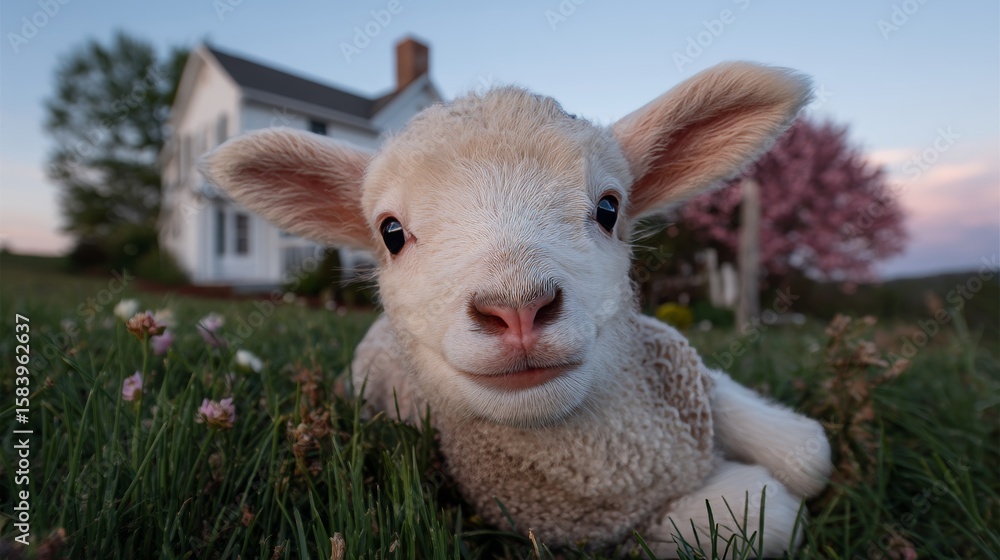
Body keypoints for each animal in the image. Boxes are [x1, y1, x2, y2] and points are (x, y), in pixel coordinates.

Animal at [201, 61, 833, 557]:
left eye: (609, 208)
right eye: (391, 233)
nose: (517, 309)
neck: (633, 459)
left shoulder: (685, 367)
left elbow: (809, 452)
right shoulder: (584, 531)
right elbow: (766, 513)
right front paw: (743, 489)